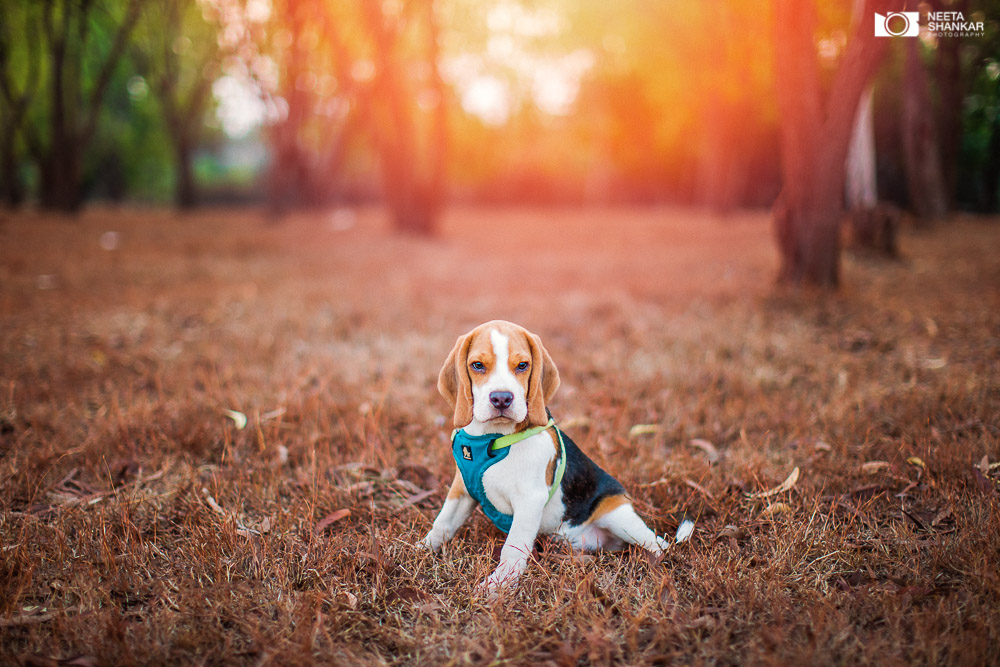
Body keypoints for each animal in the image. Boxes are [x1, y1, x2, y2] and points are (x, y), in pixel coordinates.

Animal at [418, 320, 676, 592]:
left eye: (522, 365)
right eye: (478, 365)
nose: (502, 398)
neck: (494, 438)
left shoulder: (529, 501)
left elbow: (513, 548)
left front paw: (498, 585)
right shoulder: (462, 490)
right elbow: (443, 523)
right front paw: (421, 550)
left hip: (619, 516)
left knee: (656, 542)